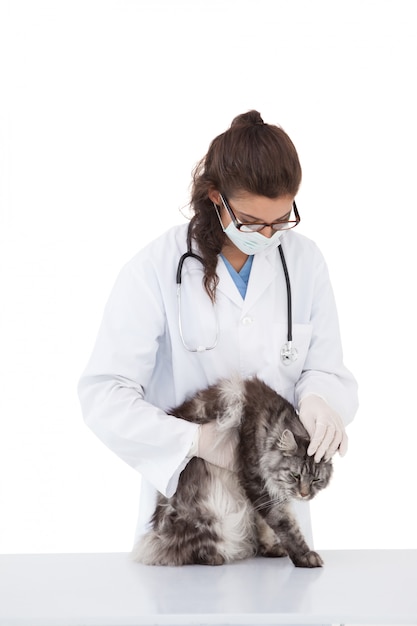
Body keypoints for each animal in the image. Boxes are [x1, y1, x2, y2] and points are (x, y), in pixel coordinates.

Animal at [132, 372, 334, 568]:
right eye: (295, 476)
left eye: (316, 480)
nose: (304, 494)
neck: (268, 424)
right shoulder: (258, 484)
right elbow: (286, 525)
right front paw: (305, 556)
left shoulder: (264, 494)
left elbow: (264, 524)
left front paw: (270, 547)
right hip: (212, 515)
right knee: (182, 551)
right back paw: (214, 558)